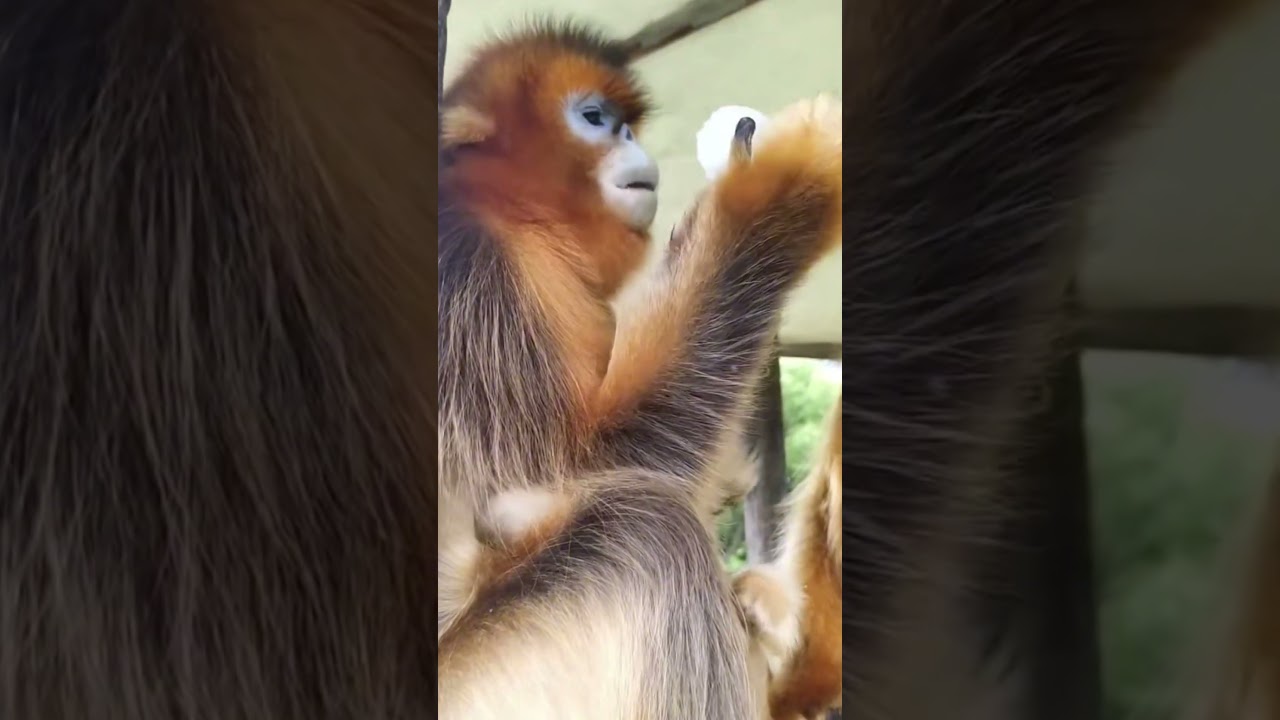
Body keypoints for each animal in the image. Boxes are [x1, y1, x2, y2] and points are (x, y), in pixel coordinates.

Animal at [435, 20, 843, 719]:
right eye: (595, 119)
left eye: (628, 124)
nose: (630, 143)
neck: (521, 223)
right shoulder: (464, 273)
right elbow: (557, 480)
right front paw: (781, 184)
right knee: (647, 529)